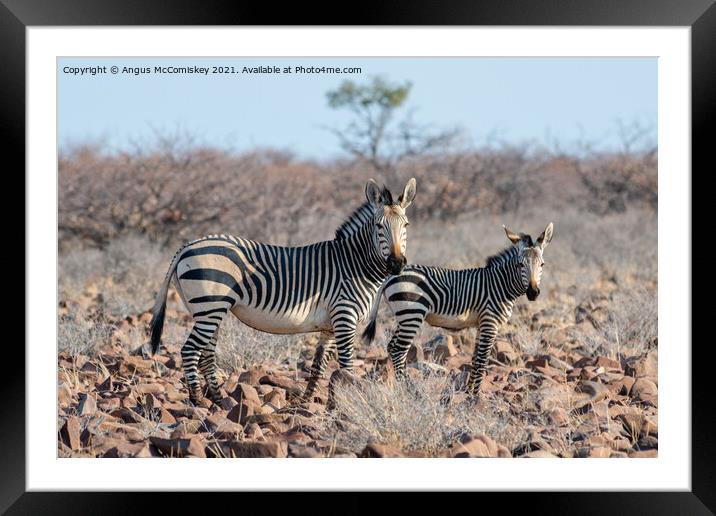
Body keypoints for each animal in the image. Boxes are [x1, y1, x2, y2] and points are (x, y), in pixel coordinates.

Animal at [152, 179, 420, 406]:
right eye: (378, 226)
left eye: (406, 225)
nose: (397, 264)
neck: (354, 264)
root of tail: (188, 245)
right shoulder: (345, 317)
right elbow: (346, 368)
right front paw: (345, 406)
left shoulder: (329, 326)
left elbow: (319, 365)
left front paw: (307, 401)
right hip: (210, 306)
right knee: (190, 350)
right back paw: (198, 400)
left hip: (207, 310)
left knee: (206, 353)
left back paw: (219, 400)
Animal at [364, 222, 552, 396]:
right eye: (520, 265)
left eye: (542, 265)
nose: (533, 292)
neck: (500, 285)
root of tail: (390, 275)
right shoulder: (490, 322)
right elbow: (482, 359)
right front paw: (476, 395)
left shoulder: (482, 324)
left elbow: (476, 358)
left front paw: (469, 390)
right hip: (412, 314)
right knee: (398, 350)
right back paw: (408, 389)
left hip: (404, 317)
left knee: (392, 347)